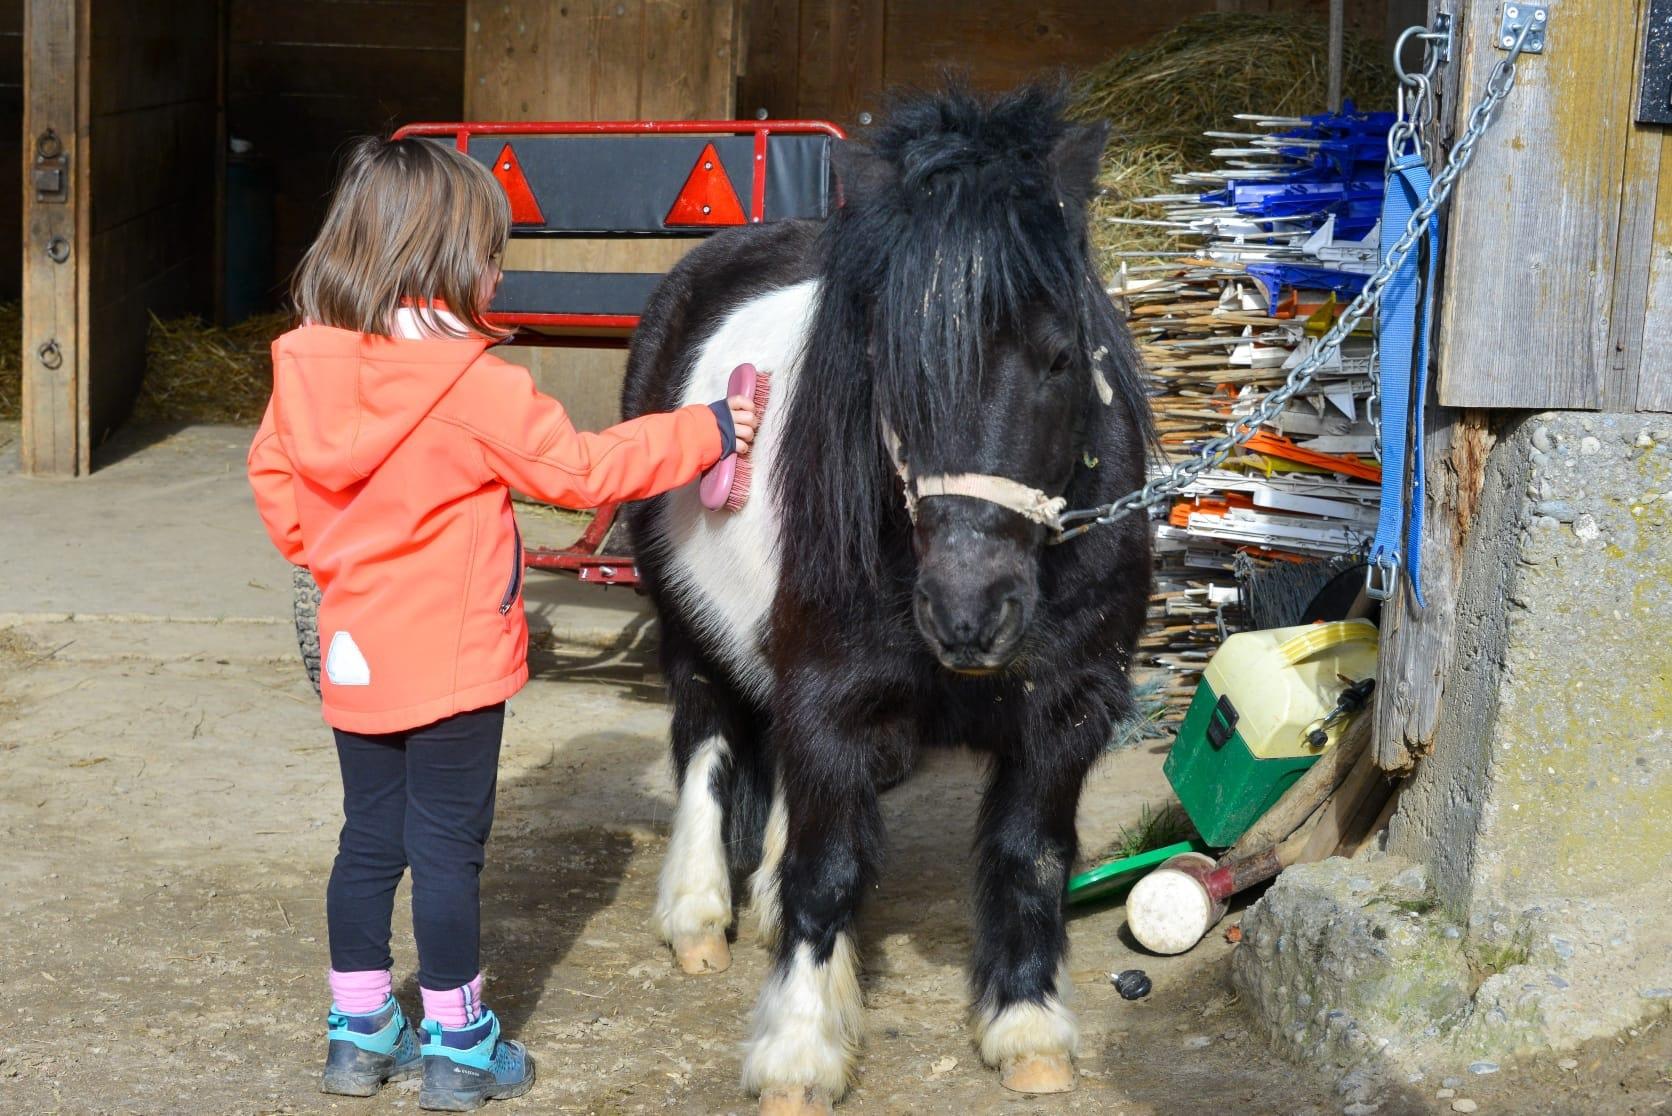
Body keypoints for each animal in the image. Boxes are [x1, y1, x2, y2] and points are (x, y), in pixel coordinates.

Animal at [621, 82, 1157, 1110]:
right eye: (886, 359)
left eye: (1061, 356)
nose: (969, 613)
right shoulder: (829, 695)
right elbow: (828, 871)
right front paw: (799, 1051)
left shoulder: (1064, 706)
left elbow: (1029, 856)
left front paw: (1026, 1025)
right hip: (687, 626)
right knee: (705, 739)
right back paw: (700, 913)